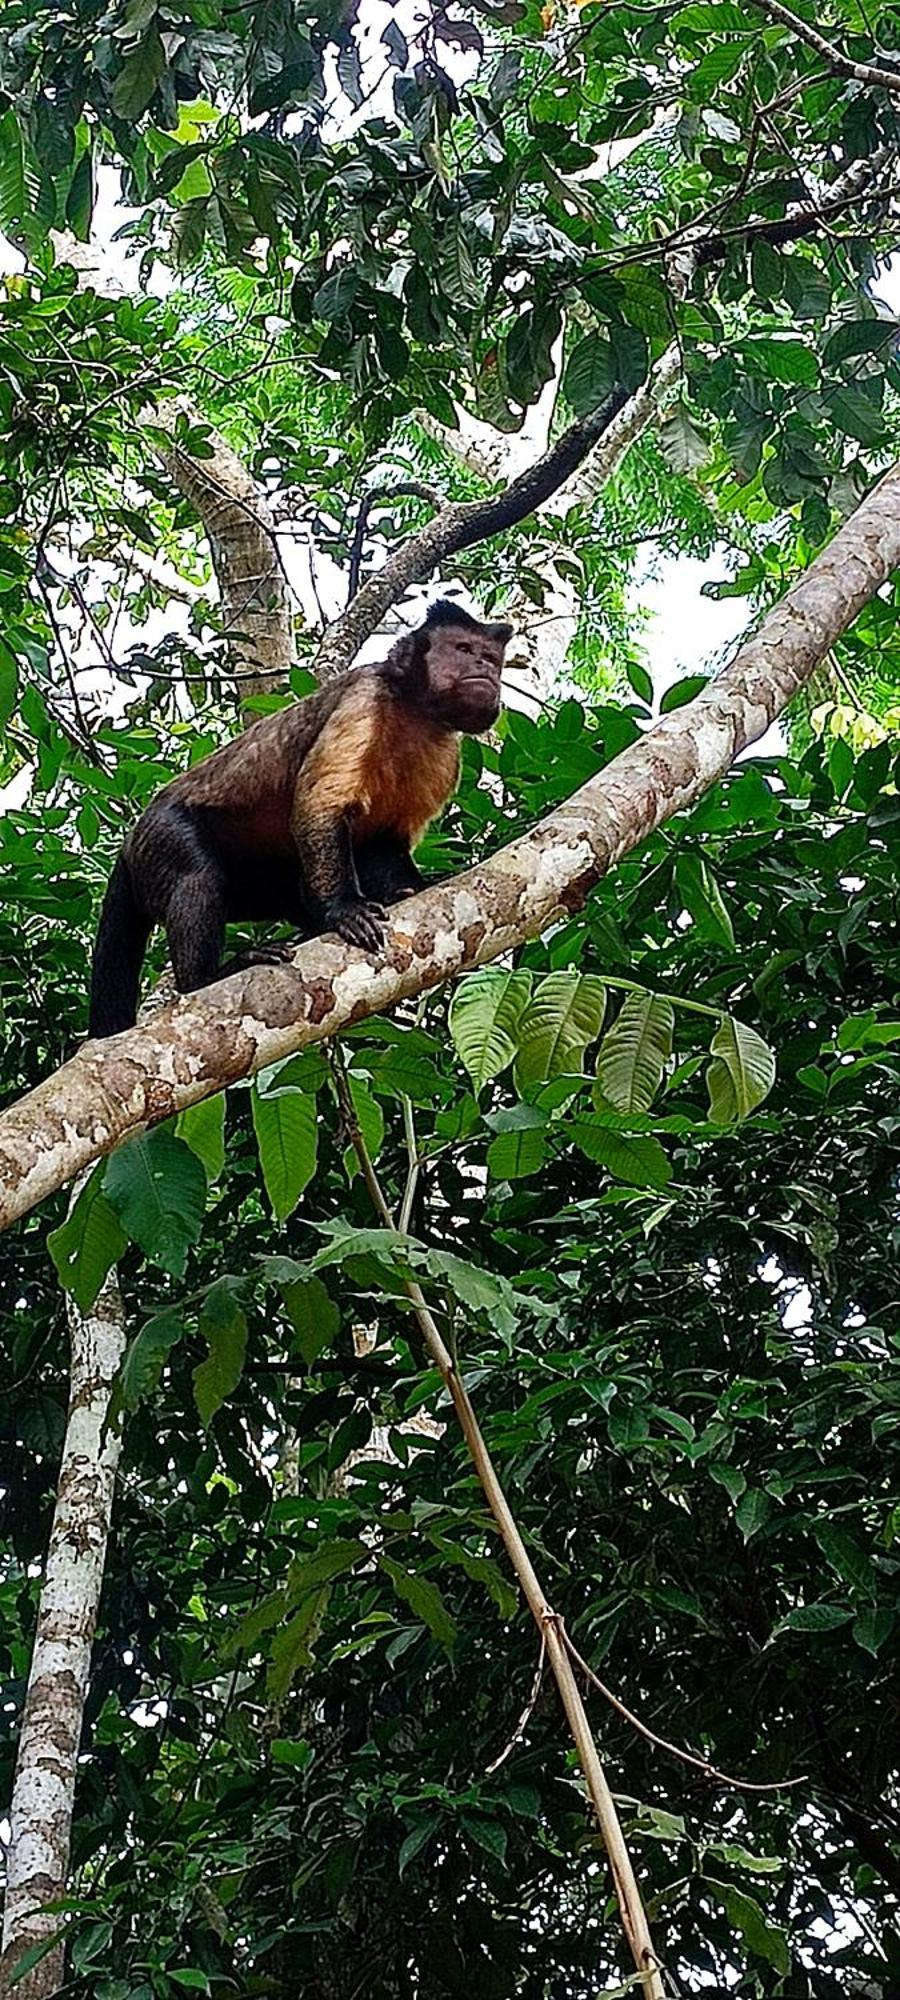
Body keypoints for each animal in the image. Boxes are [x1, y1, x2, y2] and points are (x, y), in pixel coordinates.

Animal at [93, 596, 512, 1040]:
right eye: (464, 650)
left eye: (491, 658)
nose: (484, 667)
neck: (414, 709)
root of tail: (129, 844)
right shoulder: (364, 698)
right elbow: (319, 806)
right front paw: (345, 910)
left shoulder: (447, 754)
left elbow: (383, 840)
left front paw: (409, 890)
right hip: (160, 835)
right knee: (197, 874)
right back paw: (206, 977)